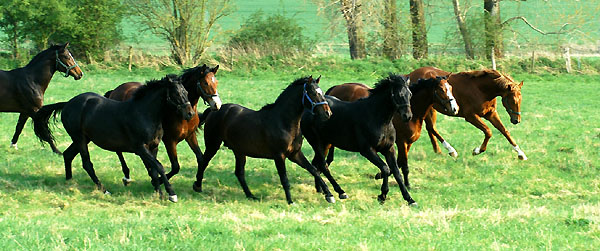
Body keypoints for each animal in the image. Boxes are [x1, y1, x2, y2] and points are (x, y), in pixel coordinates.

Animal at [31, 74, 193, 202]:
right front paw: (171, 194)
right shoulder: (140, 148)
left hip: (83, 139)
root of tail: (67, 104)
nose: (190, 114)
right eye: (176, 93)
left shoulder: (154, 147)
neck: (144, 113)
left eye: (186, 91)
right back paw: (104, 190)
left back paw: (69, 182)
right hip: (80, 138)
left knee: (68, 154)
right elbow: (159, 166)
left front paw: (159, 193)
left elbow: (153, 169)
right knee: (87, 164)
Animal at [195, 76, 340, 204]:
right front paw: (290, 201)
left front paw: (330, 195)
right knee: (203, 162)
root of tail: (215, 110)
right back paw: (197, 186)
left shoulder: (295, 154)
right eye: (313, 93)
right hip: (213, 144)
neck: (283, 122)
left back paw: (250, 195)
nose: (328, 113)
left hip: (239, 151)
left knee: (239, 173)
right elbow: (284, 179)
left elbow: (314, 170)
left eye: (322, 93)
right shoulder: (279, 156)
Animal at [300, 73, 418, 205]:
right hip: (317, 143)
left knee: (316, 164)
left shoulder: (389, 149)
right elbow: (385, 169)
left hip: (325, 144)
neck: (379, 119)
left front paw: (409, 199)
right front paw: (382, 195)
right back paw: (336, 192)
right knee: (322, 165)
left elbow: (396, 172)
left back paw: (320, 189)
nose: (407, 116)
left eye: (410, 94)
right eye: (398, 94)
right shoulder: (367, 150)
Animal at [324, 75, 460, 189]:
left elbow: (398, 163)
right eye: (441, 89)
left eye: (451, 88)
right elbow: (404, 165)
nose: (455, 109)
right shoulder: (401, 142)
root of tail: (335, 88)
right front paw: (407, 185)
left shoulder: (406, 143)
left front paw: (380, 175)